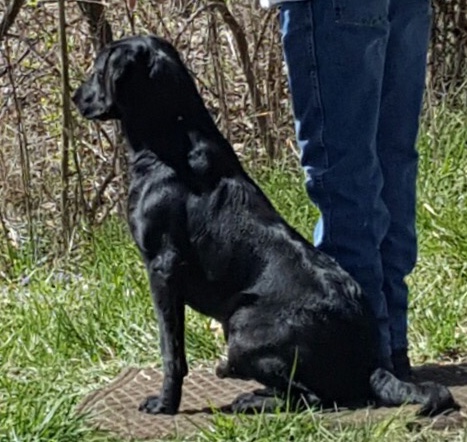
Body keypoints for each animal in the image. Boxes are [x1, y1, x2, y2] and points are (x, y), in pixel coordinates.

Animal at [74, 35, 460, 418]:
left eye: (98, 68)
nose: (77, 96)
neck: (171, 139)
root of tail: (369, 364)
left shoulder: (163, 268)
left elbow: (172, 352)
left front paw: (165, 404)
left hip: (243, 325)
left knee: (310, 398)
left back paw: (250, 399)